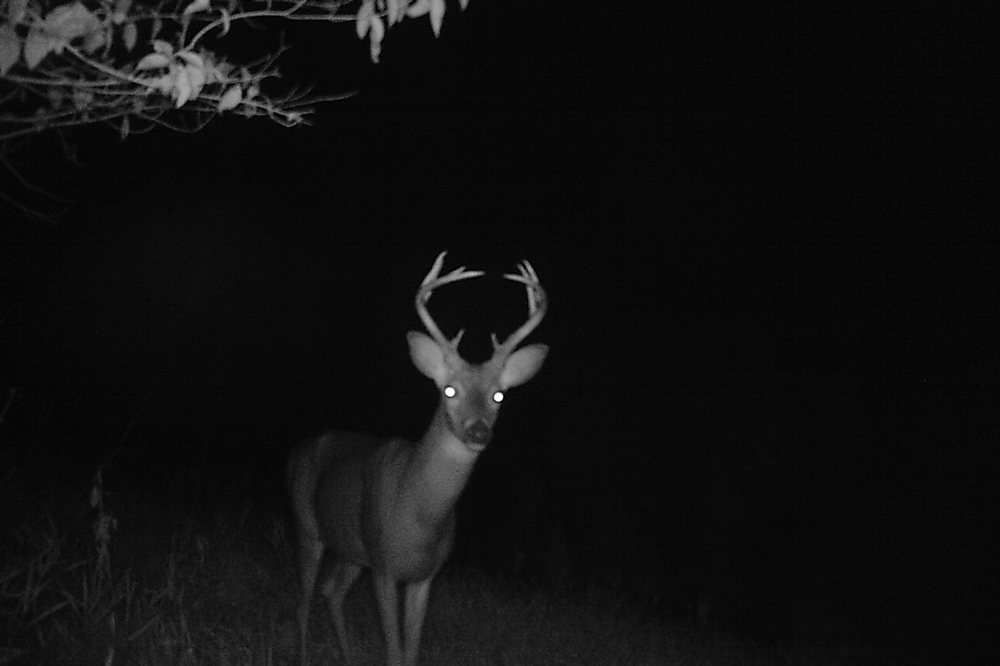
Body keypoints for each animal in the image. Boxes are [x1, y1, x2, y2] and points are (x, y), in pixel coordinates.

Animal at [287, 251, 548, 666]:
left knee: (331, 591)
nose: (478, 431)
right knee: (303, 600)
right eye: (449, 389)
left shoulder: (425, 575)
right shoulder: (383, 566)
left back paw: (347, 655)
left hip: (352, 548)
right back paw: (302, 655)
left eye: (499, 395)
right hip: (307, 525)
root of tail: (298, 449)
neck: (419, 516)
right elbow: (394, 652)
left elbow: (411, 652)